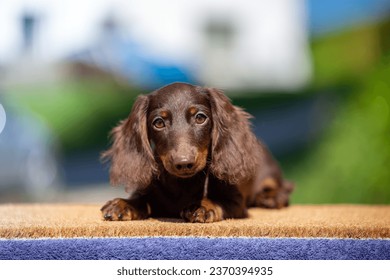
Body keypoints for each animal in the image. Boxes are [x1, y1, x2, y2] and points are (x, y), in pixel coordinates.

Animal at [100, 82, 292, 222]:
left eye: (200, 117)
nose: (184, 164)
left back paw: (271, 197)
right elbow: (142, 199)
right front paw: (123, 204)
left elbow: (219, 201)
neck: (184, 185)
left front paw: (203, 206)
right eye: (158, 122)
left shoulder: (236, 202)